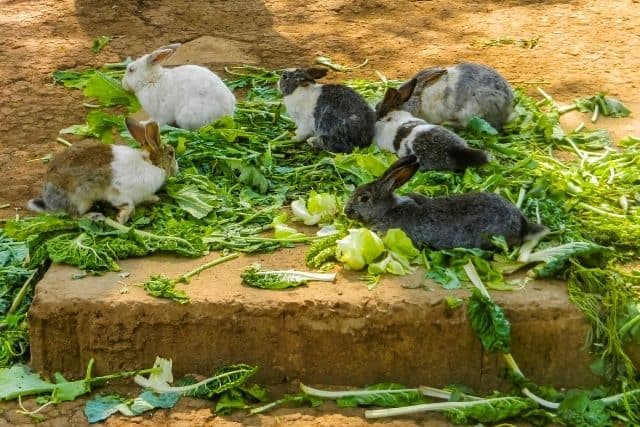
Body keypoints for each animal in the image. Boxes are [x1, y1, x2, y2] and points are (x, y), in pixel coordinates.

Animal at [27, 118, 178, 224]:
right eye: (171, 153)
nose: (177, 168)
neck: (151, 164)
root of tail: (50, 203)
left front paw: (154, 198)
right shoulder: (118, 192)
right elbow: (129, 205)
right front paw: (121, 218)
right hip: (81, 200)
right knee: (76, 217)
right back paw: (95, 216)